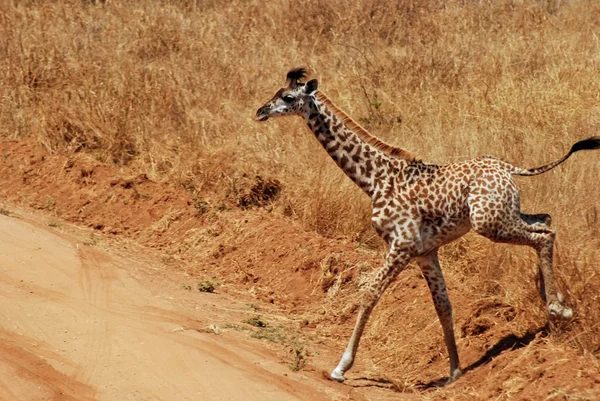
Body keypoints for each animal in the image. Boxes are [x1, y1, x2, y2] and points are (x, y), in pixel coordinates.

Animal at [254, 67, 600, 382]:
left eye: (288, 97)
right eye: (276, 92)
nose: (259, 111)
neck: (374, 180)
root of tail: (508, 168)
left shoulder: (402, 246)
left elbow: (368, 295)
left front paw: (341, 368)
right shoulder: (425, 252)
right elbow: (442, 306)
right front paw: (454, 371)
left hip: (488, 223)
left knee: (544, 233)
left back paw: (557, 307)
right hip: (503, 214)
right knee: (545, 221)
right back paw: (551, 301)